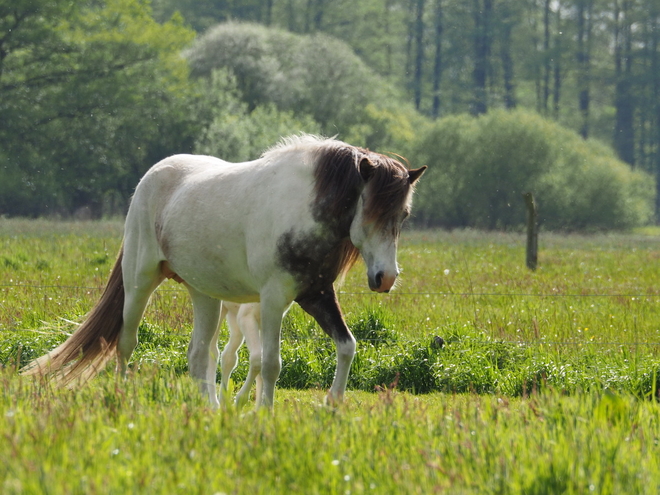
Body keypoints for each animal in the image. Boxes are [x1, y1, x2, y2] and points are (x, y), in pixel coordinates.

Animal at [20, 134, 426, 408]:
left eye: (404, 215)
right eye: (370, 211)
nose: (386, 278)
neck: (303, 209)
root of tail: (150, 177)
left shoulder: (317, 295)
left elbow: (347, 346)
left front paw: (333, 404)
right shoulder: (274, 300)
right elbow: (271, 364)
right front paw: (264, 413)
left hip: (205, 295)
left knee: (201, 356)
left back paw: (211, 410)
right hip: (139, 283)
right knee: (126, 342)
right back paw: (123, 397)